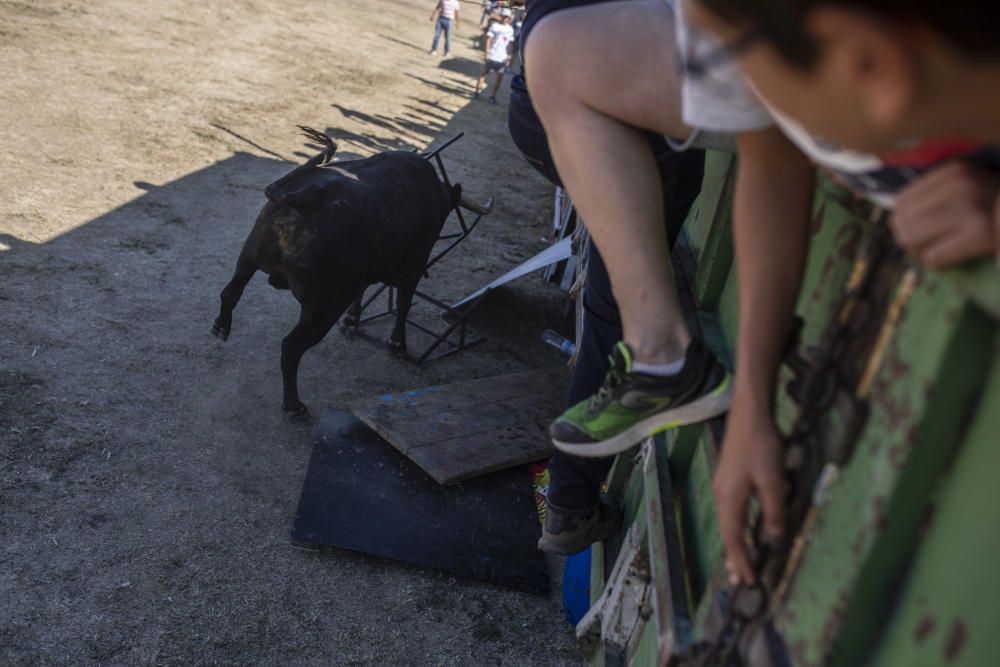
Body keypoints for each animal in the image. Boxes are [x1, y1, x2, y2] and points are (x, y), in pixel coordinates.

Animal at [213, 129, 490, 418]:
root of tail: (310, 196)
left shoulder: (363, 277)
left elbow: (362, 294)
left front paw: (353, 321)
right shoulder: (413, 267)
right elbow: (403, 304)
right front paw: (397, 344)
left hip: (249, 257)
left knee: (231, 292)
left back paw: (221, 328)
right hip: (323, 308)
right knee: (291, 347)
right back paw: (294, 406)